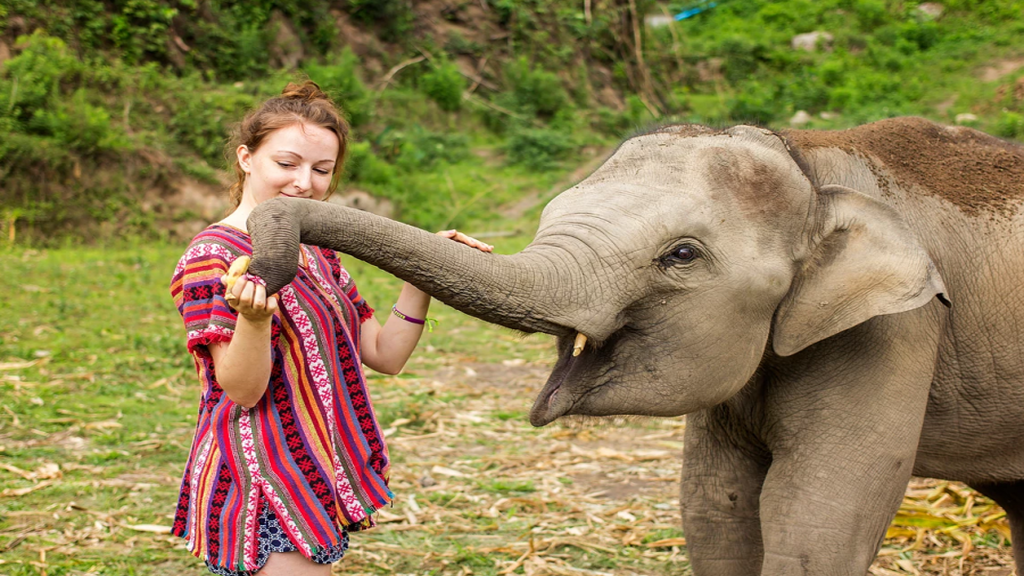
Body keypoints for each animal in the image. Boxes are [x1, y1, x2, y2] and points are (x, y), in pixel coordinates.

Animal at [247, 117, 1024, 573]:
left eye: (681, 255)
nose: (268, 262)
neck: (813, 165)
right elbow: (717, 509)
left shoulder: (895, 329)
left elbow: (813, 513)